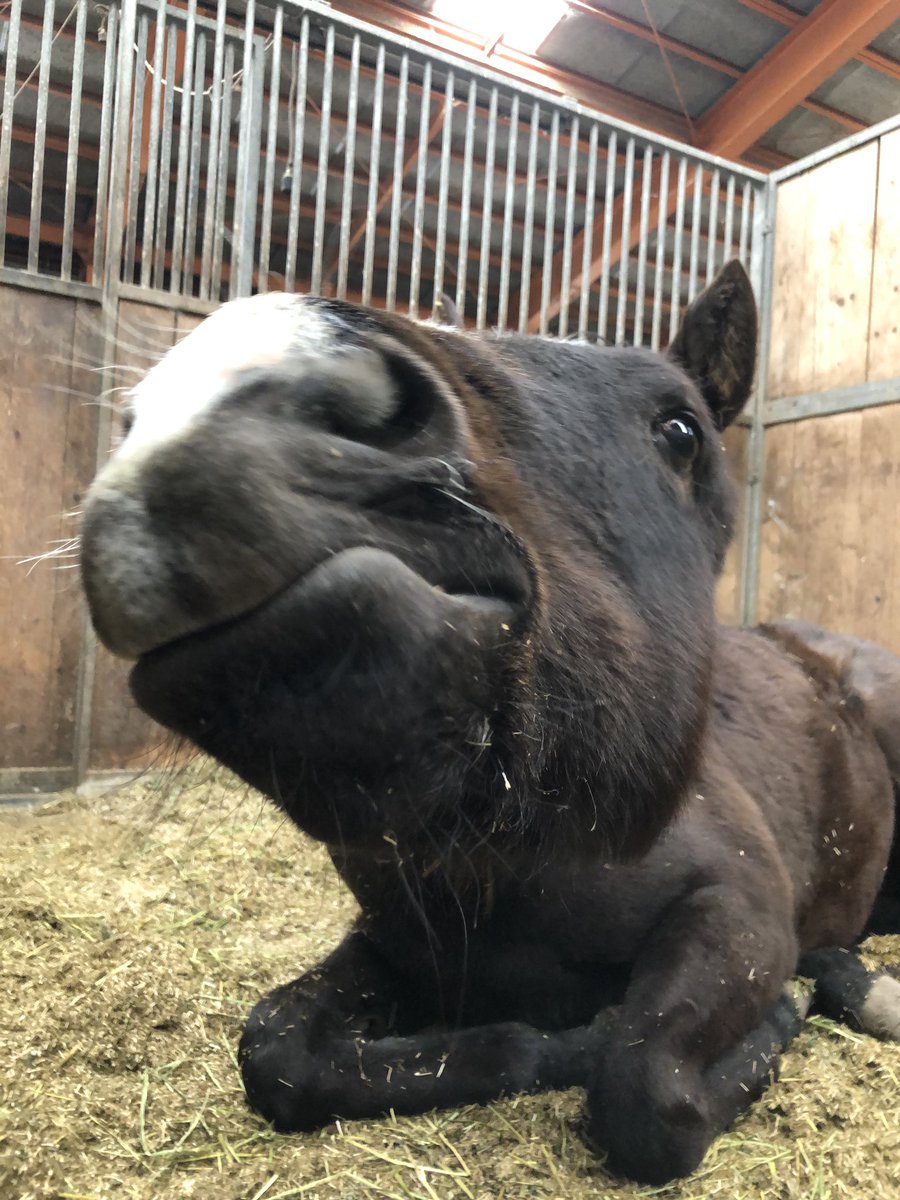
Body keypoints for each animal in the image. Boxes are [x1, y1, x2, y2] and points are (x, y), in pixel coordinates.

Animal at [79, 261, 900, 1183]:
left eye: (681, 430)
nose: (233, 385)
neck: (517, 861)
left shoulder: (741, 909)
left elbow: (646, 1089)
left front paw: (776, 1020)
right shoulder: (396, 943)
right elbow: (282, 1052)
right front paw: (556, 1042)